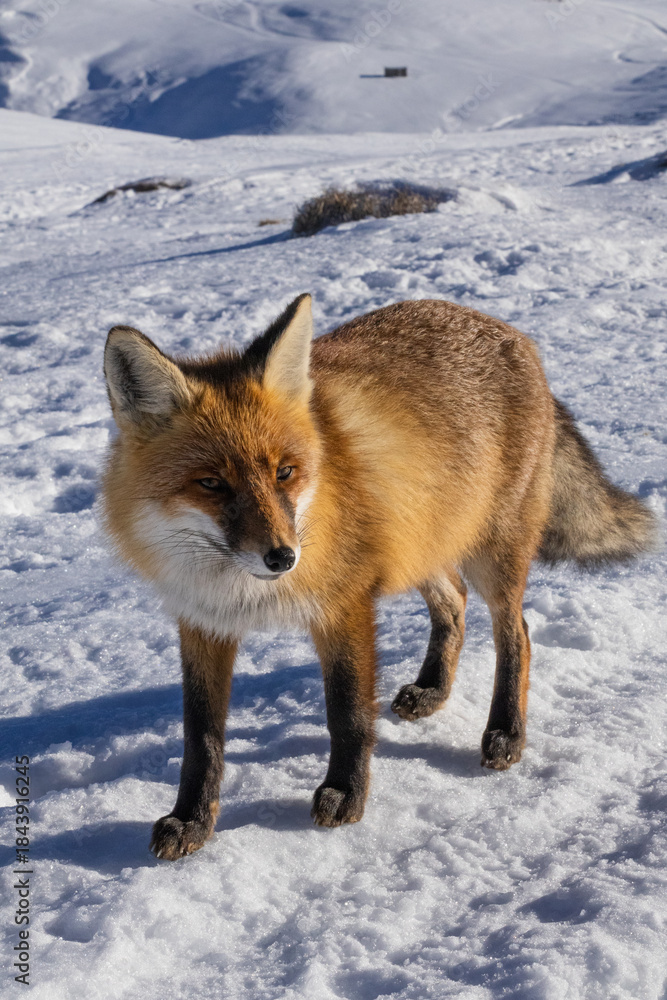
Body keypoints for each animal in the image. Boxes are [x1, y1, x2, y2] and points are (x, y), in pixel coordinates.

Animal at [101, 294, 656, 860]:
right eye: (211, 484)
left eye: (284, 472)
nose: (283, 558)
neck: (241, 591)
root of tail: (513, 333)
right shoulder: (202, 623)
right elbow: (202, 737)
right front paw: (191, 819)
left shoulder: (345, 605)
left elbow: (347, 713)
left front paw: (346, 793)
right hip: (422, 540)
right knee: (454, 602)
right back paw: (433, 689)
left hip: (491, 553)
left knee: (516, 633)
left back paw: (506, 731)